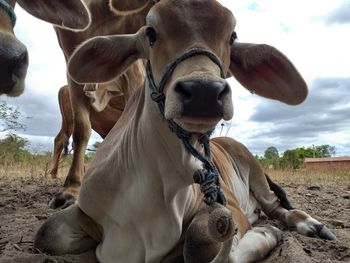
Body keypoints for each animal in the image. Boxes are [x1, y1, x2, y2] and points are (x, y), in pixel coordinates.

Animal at [34, 1, 334, 262]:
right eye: (151, 32)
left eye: (232, 36)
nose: (204, 91)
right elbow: (46, 234)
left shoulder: (226, 207)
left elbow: (199, 245)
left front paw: (267, 234)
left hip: (256, 173)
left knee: (276, 206)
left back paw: (311, 224)